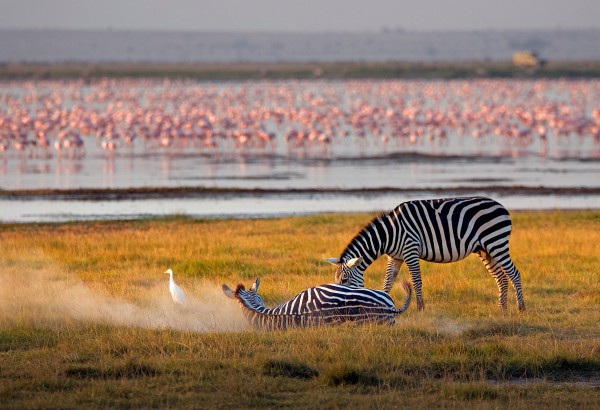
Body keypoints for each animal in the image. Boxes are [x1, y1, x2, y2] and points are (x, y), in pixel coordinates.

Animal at [326, 196, 528, 310]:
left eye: (344, 280)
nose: (339, 303)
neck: (389, 234)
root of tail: (501, 206)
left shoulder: (411, 250)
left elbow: (416, 280)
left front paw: (420, 308)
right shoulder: (395, 257)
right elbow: (388, 281)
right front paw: (382, 303)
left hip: (497, 242)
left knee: (514, 273)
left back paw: (521, 308)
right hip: (485, 249)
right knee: (501, 277)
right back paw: (502, 309)